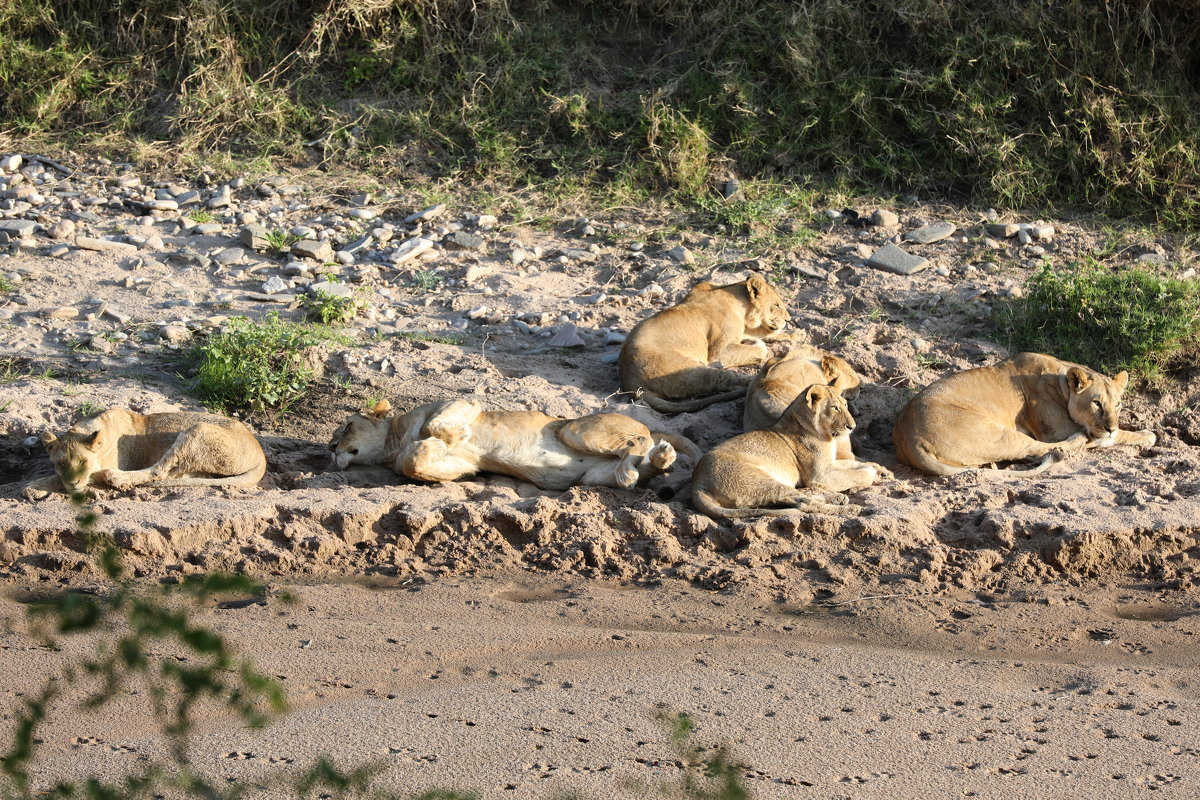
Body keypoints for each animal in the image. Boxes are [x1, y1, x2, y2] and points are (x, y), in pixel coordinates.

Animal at [22, 412, 267, 501]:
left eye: (83, 462)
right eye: (61, 463)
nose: (73, 483)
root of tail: (261, 455)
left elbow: (84, 478)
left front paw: (35, 486)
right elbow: (56, 477)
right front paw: (35, 485)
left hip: (197, 430)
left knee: (159, 471)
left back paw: (116, 478)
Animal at [328, 398, 700, 491]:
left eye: (345, 426)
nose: (330, 449)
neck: (395, 439)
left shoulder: (460, 401)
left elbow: (434, 427)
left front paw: (454, 436)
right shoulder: (461, 462)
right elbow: (416, 463)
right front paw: (457, 470)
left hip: (576, 430)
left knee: (636, 442)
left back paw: (632, 469)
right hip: (593, 476)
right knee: (648, 466)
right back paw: (659, 459)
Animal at [619, 273, 796, 412]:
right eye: (776, 305)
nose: (789, 319)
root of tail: (629, 380)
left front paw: (794, 334)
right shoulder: (721, 350)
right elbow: (761, 348)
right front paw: (757, 342)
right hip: (686, 370)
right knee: (725, 380)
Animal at [691, 381, 888, 520]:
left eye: (845, 405)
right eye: (835, 408)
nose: (852, 426)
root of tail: (697, 481)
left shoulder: (830, 463)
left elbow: (854, 464)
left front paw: (878, 468)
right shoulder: (820, 474)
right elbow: (859, 474)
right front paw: (872, 472)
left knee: (798, 497)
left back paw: (838, 499)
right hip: (759, 481)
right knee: (802, 503)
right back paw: (849, 508)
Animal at [897, 350, 1156, 474]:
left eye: (1118, 404)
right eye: (1096, 403)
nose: (1110, 427)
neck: (1061, 381)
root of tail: (908, 437)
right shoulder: (1057, 431)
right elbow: (1118, 435)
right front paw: (1146, 435)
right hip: (997, 434)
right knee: (1041, 449)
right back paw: (1077, 441)